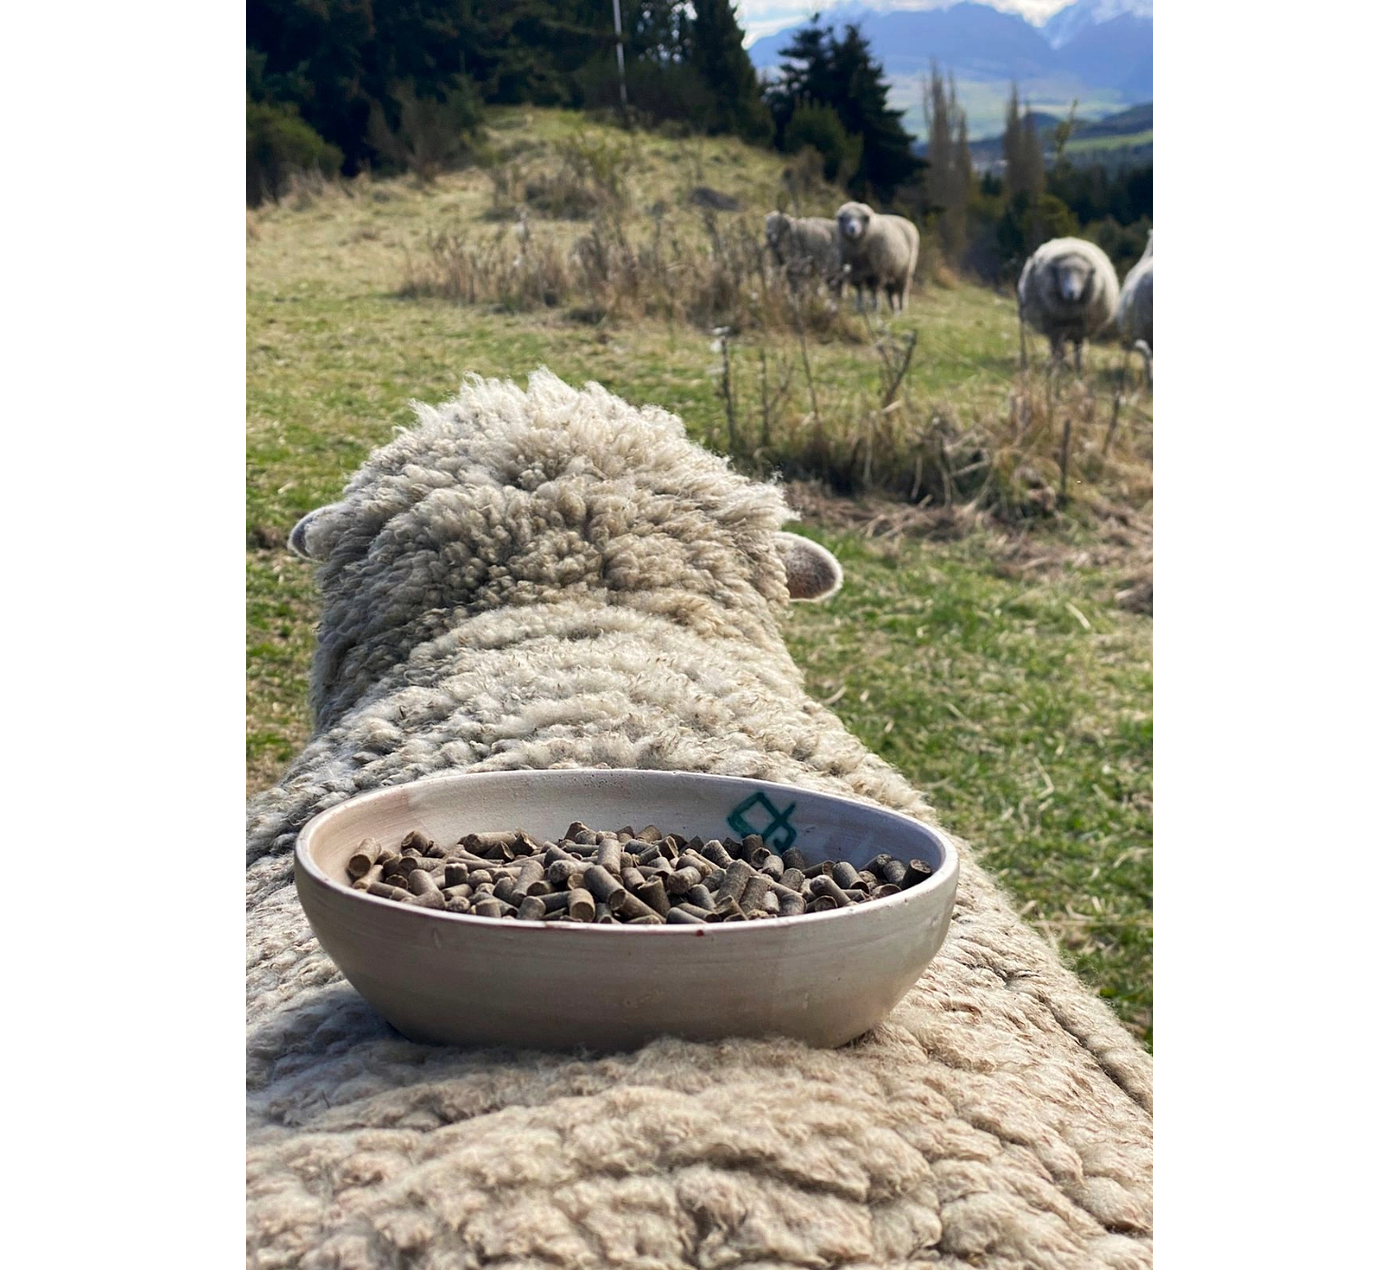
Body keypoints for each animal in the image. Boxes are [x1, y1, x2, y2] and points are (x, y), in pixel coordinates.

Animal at [1017, 236, 1122, 374]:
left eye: (1083, 275)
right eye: (1062, 274)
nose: (1072, 292)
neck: (1069, 310)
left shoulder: (1081, 329)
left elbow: (1078, 349)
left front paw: (1079, 370)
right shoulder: (1055, 327)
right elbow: (1057, 348)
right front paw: (1058, 368)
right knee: (1056, 346)